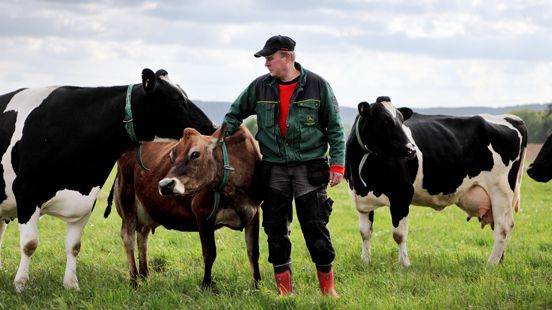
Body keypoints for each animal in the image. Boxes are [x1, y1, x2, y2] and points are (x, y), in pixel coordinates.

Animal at [0, 68, 216, 294]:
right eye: (176, 98)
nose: (211, 126)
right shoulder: (26, 193)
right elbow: (29, 244)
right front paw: (21, 285)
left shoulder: (86, 202)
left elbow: (74, 246)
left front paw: (71, 285)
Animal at [109, 124, 264, 290]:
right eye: (171, 156)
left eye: (195, 154)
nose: (164, 185)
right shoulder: (203, 213)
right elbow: (209, 253)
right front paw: (206, 285)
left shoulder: (254, 212)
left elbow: (253, 252)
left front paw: (257, 285)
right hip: (126, 199)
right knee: (129, 237)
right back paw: (134, 280)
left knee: (142, 237)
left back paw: (145, 276)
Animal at [348, 96, 528, 266]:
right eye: (385, 120)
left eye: (401, 120)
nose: (411, 149)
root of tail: (512, 119)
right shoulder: (361, 200)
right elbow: (365, 232)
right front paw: (365, 262)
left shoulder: (402, 196)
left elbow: (399, 235)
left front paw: (405, 265)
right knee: (497, 225)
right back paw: (499, 262)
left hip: (501, 190)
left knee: (503, 227)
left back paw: (490, 264)